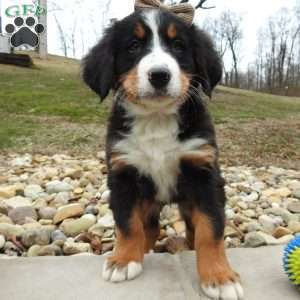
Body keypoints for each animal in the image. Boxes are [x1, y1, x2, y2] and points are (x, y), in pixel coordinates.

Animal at [82, 6, 244, 300]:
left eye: (178, 46)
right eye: (133, 46)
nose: (159, 75)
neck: (156, 119)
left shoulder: (205, 174)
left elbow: (210, 229)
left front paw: (220, 277)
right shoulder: (123, 173)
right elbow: (127, 224)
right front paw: (123, 261)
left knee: (192, 231)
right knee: (148, 229)